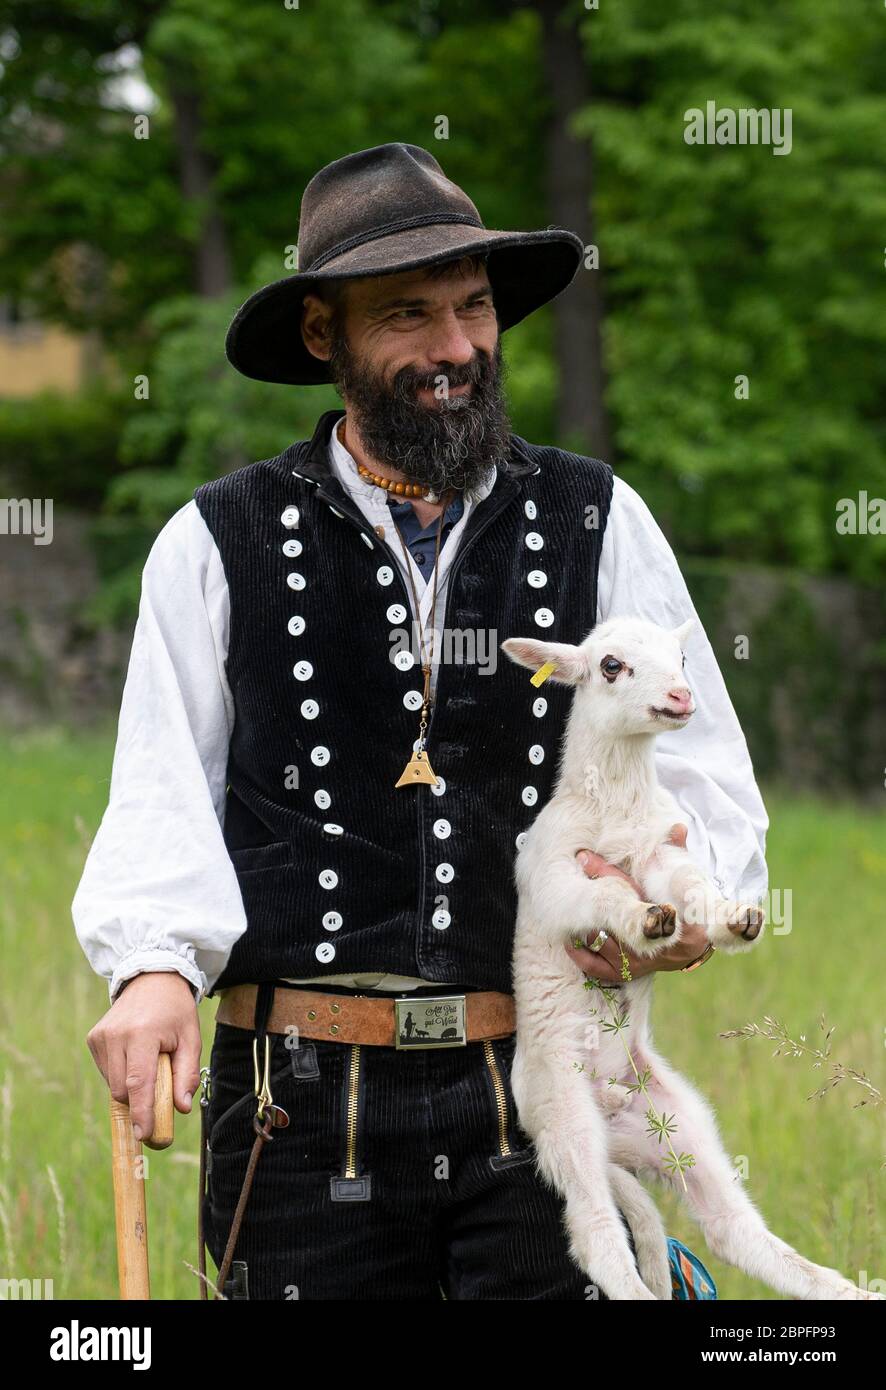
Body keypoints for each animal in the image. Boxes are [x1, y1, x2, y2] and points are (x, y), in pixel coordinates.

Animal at [500, 614, 873, 1295]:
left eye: (680, 657)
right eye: (611, 666)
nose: (680, 697)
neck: (615, 808)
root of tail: (611, 1110)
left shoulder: (660, 851)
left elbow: (693, 884)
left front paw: (735, 920)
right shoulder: (553, 876)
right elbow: (604, 894)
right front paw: (645, 921)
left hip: (676, 1122)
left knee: (732, 1227)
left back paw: (845, 1287)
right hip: (561, 1112)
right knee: (598, 1233)